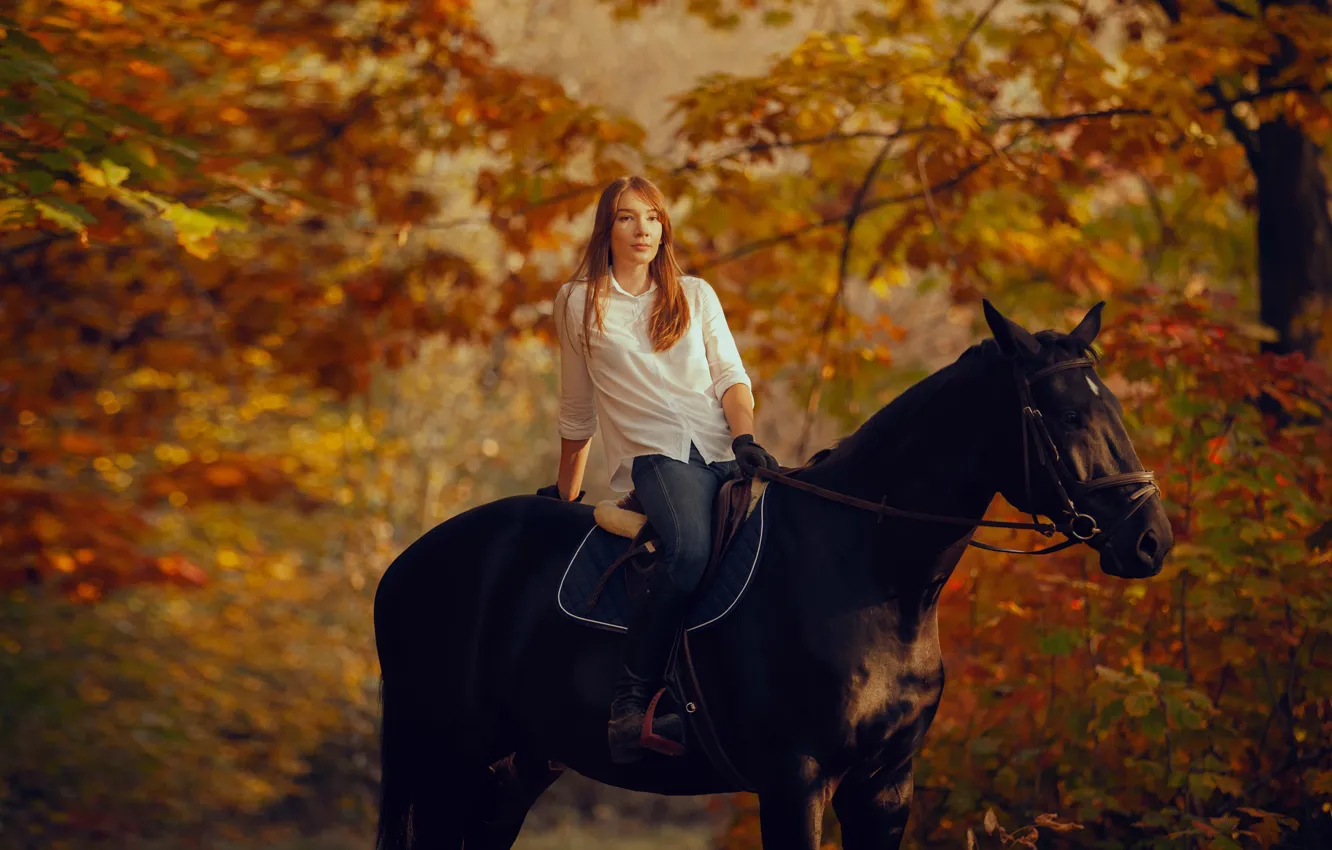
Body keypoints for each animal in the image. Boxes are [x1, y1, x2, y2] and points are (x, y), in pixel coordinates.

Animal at [372, 299, 1174, 850]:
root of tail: (405, 566)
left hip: (510, 770)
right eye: (1067, 417)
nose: (1150, 540)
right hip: (447, 759)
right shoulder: (797, 779)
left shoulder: (886, 787)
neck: (868, 571)